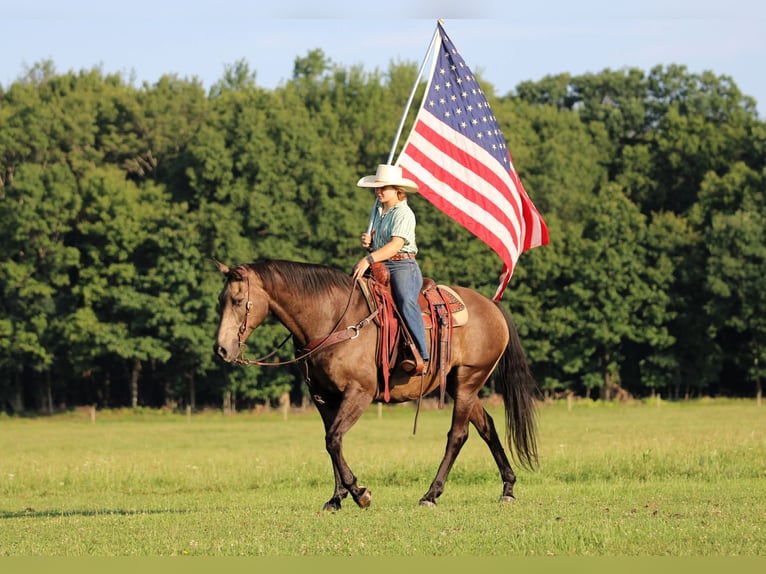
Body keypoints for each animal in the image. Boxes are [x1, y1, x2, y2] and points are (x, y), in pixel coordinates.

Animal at [212, 258, 539, 510]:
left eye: (238, 301)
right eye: (220, 301)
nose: (222, 349)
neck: (334, 319)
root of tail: (492, 307)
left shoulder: (359, 392)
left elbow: (333, 439)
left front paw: (359, 493)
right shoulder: (322, 397)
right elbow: (332, 442)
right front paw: (336, 498)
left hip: (469, 380)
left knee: (457, 435)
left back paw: (431, 494)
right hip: (462, 386)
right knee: (487, 428)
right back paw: (508, 488)